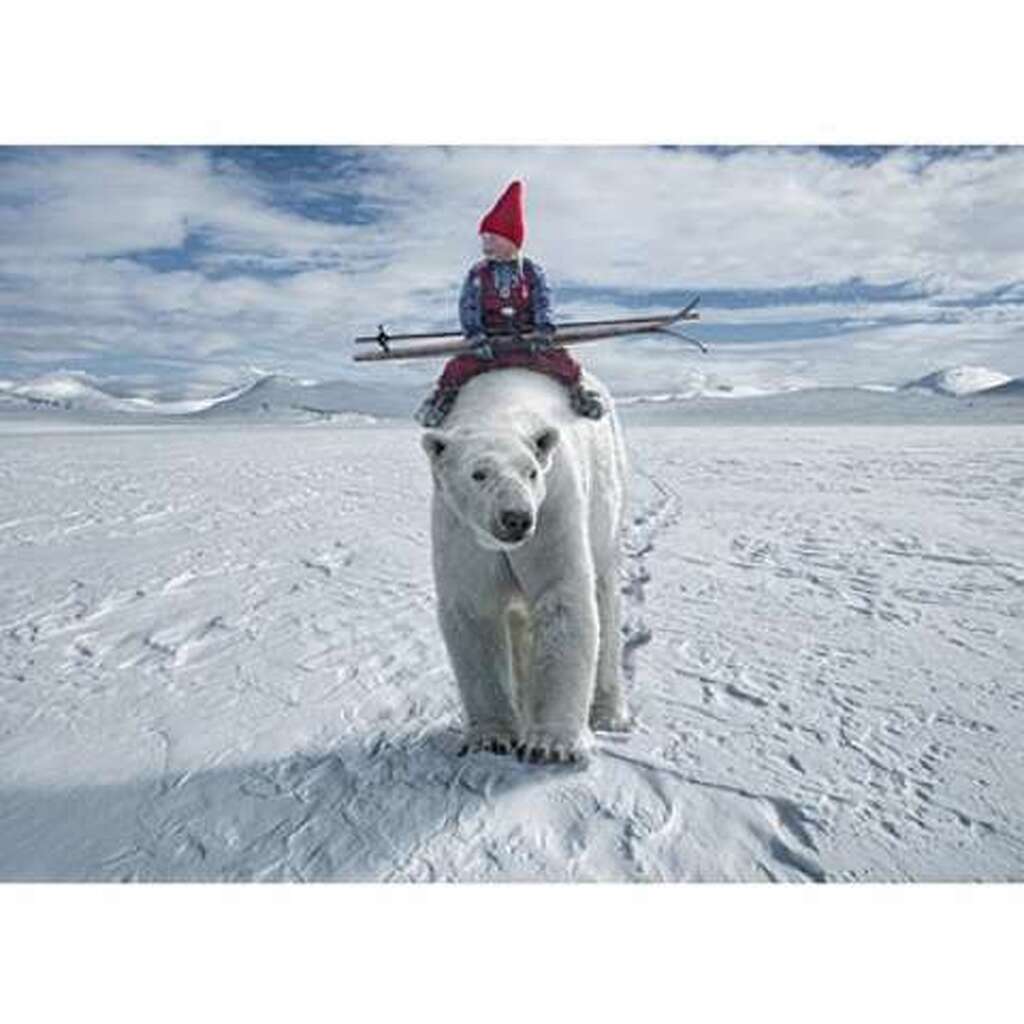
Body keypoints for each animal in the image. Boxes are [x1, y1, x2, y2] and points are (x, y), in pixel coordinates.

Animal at [420, 366, 631, 765]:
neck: (496, 407)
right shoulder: (461, 529)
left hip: (604, 497)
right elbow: (475, 611)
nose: (516, 518)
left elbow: (560, 597)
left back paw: (609, 714)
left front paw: (552, 745)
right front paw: (491, 738)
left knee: (605, 596)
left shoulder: (554, 507)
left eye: (531, 471)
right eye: (479, 473)